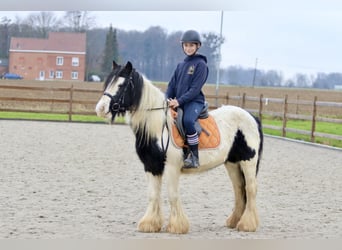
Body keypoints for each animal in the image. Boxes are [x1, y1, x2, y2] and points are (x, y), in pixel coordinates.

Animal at [95, 61, 264, 234]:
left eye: (121, 85)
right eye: (107, 82)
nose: (100, 109)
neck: (158, 128)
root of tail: (251, 117)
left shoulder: (171, 167)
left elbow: (172, 195)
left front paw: (177, 226)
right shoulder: (151, 167)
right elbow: (153, 194)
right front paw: (150, 224)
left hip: (248, 162)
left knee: (250, 189)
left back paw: (247, 224)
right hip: (232, 164)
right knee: (239, 189)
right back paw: (234, 221)